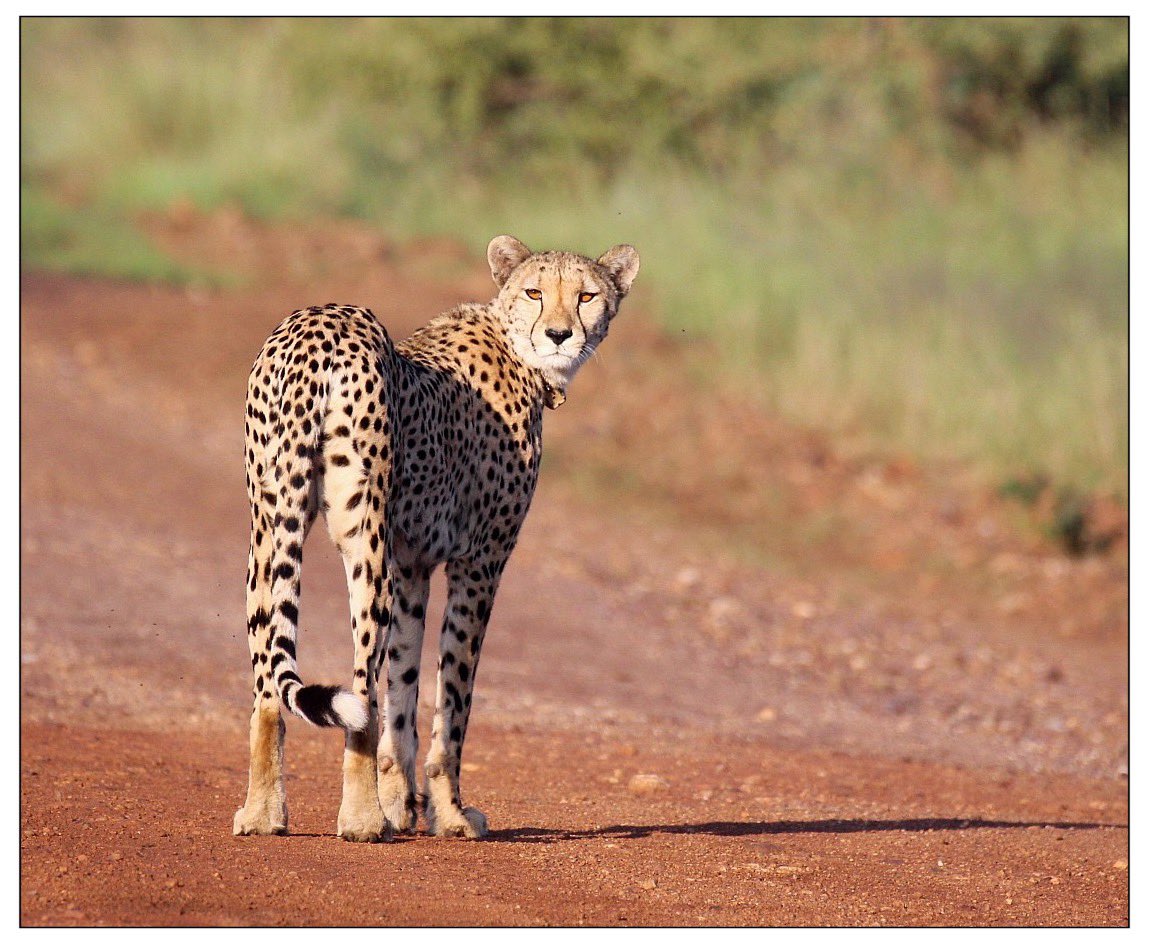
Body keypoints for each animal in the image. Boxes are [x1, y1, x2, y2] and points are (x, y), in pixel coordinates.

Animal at [232, 234, 638, 840]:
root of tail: (321, 321)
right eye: (535, 292)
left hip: (272, 524)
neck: (516, 349)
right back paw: (361, 818)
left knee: (268, 682)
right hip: (364, 541)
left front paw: (402, 802)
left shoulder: (413, 565)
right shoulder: (479, 562)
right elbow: (453, 701)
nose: (559, 334)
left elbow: (403, 689)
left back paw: (263, 812)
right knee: (360, 694)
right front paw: (447, 813)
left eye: (587, 295)